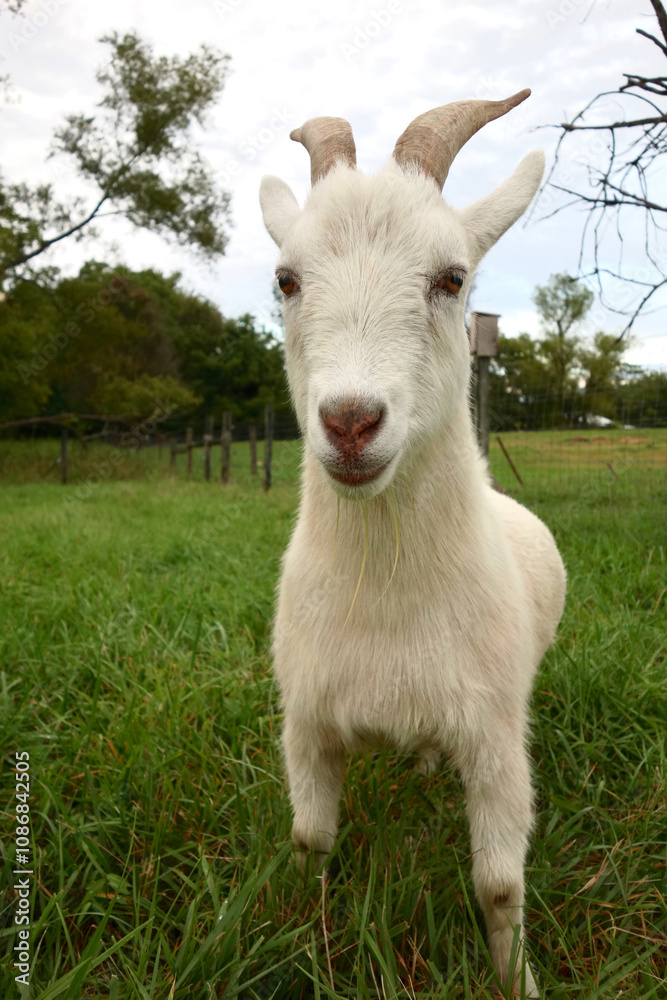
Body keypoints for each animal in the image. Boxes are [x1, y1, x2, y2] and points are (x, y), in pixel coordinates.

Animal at [260, 90, 567, 997]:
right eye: (286, 279)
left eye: (451, 278)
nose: (351, 422)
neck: (388, 595)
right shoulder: (307, 723)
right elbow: (309, 842)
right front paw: (310, 942)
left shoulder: (496, 736)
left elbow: (497, 884)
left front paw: (516, 978)